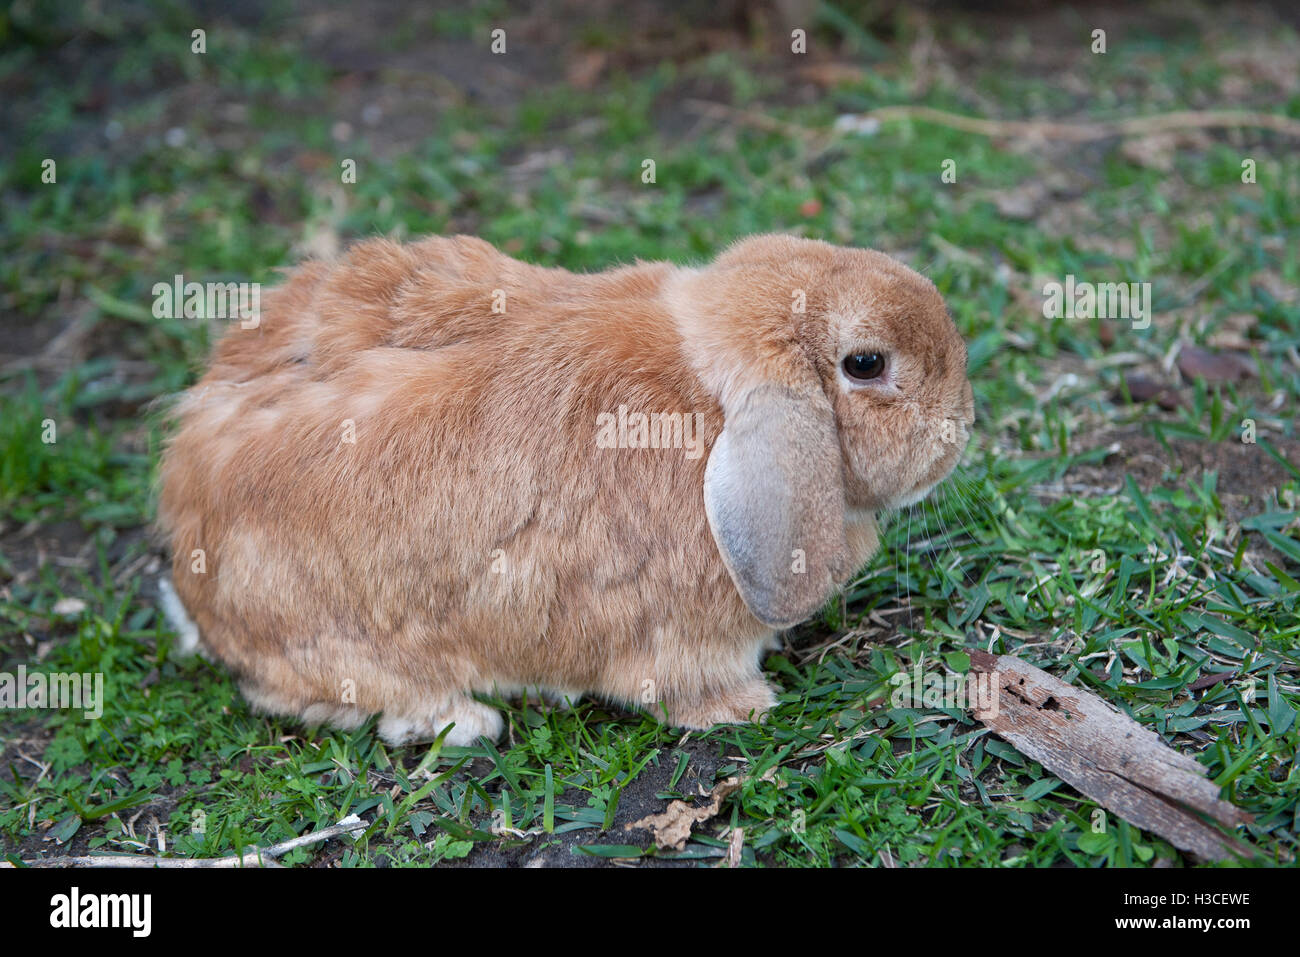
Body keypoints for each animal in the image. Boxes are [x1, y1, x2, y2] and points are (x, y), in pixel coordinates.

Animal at [157, 234, 977, 748]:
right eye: (866, 364)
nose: (963, 424)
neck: (707, 386)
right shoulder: (681, 640)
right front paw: (745, 707)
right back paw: (466, 723)